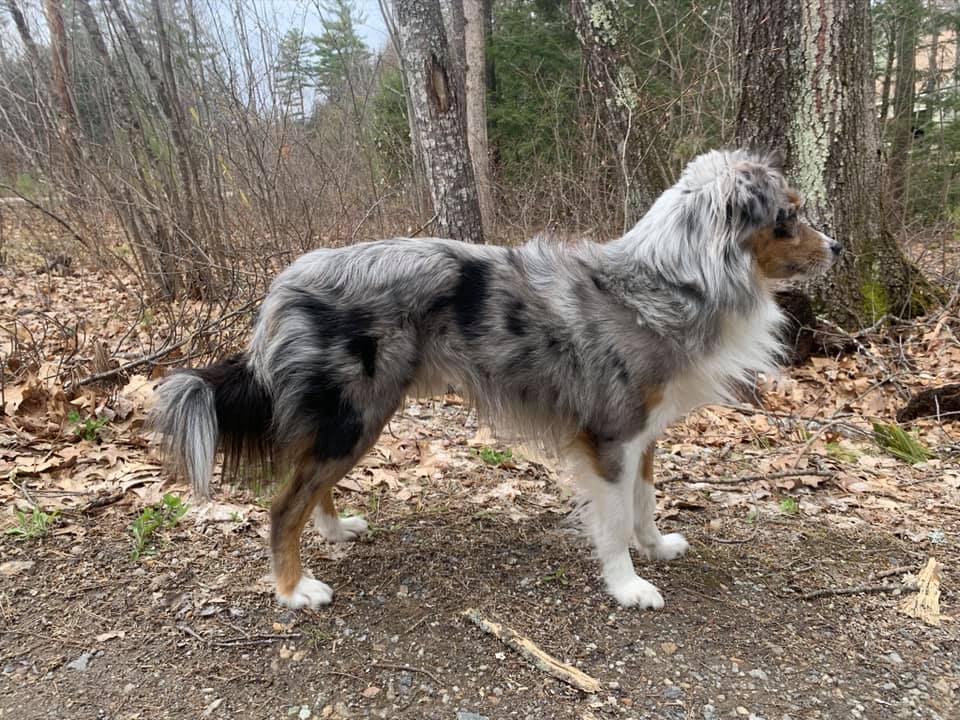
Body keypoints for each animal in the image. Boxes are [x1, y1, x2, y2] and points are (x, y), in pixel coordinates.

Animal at [150, 149, 840, 612]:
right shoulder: (609, 438)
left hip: (354, 419)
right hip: (358, 415)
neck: (671, 281)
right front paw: (627, 585)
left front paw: (655, 547)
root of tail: (280, 290)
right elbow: (614, 519)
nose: (837, 248)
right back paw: (295, 590)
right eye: (790, 215)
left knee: (310, 485)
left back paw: (336, 531)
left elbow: (645, 501)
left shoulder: (642, 433)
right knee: (282, 503)